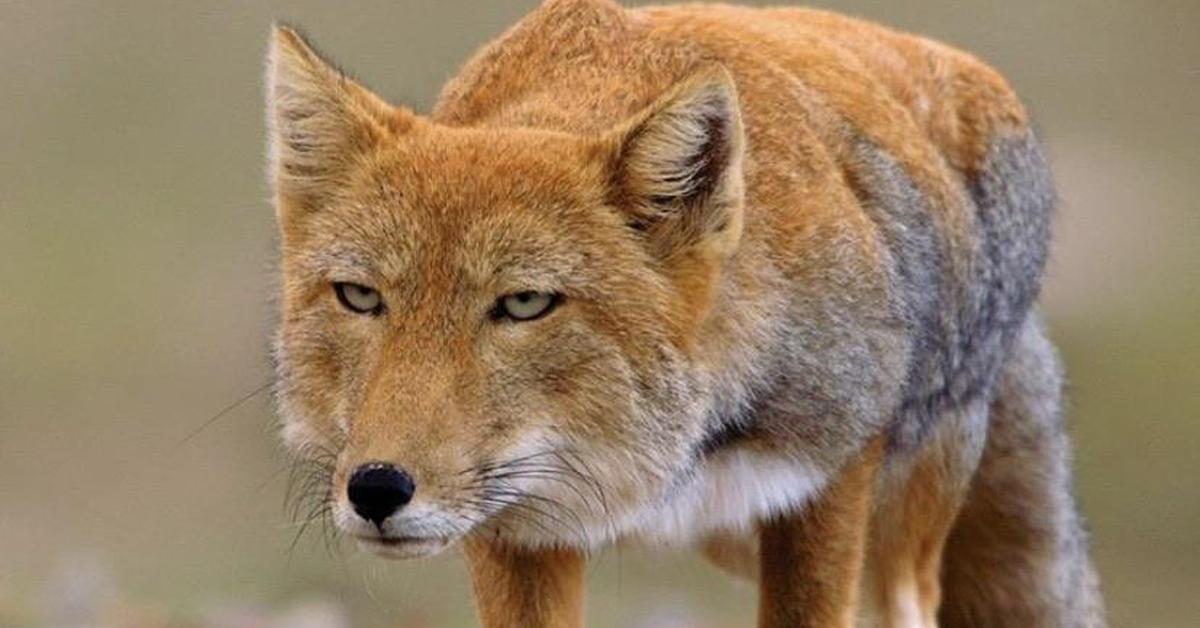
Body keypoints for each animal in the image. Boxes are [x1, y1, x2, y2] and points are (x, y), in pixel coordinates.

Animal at [265, 1, 1104, 628]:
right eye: (361, 297)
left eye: (525, 304)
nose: (376, 490)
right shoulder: (521, 532)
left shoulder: (826, 488)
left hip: (898, 547)